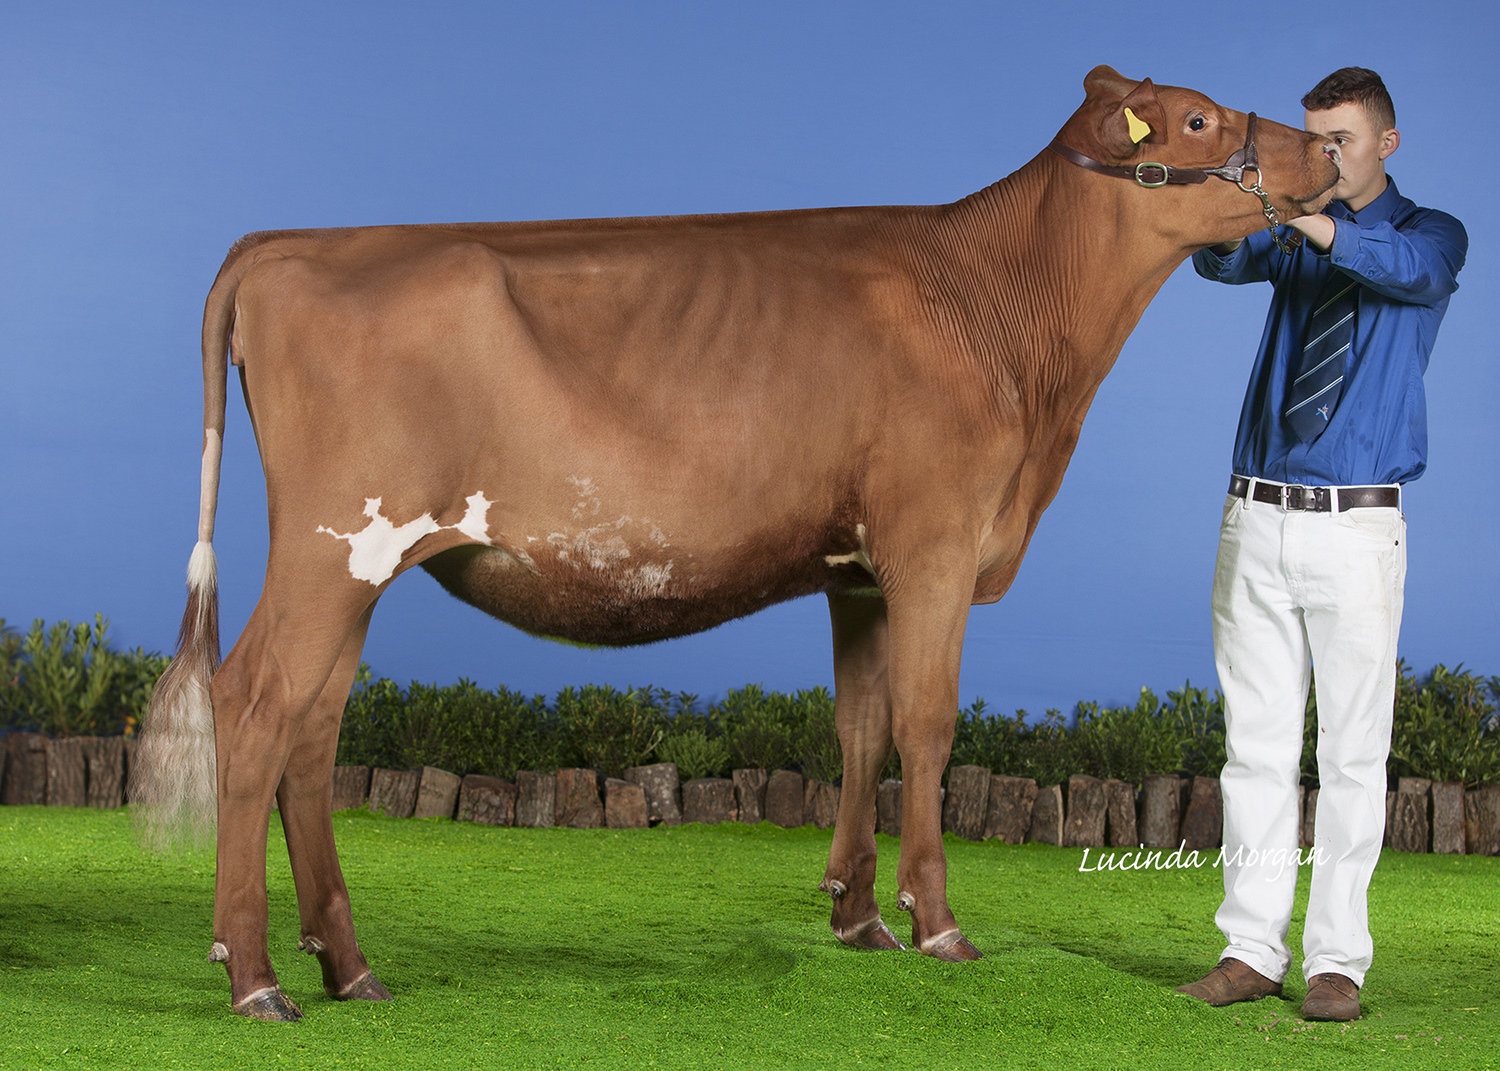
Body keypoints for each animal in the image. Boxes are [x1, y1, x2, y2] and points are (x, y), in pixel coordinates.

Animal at [133, 65, 1339, 1020]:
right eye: (1196, 119)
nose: (1328, 149)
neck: (1008, 324)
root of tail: (286, 244)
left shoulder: (859, 573)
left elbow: (861, 727)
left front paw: (858, 916)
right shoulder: (936, 542)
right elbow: (930, 725)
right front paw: (939, 924)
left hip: (359, 566)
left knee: (312, 730)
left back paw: (347, 967)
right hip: (334, 544)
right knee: (255, 705)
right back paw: (256, 977)